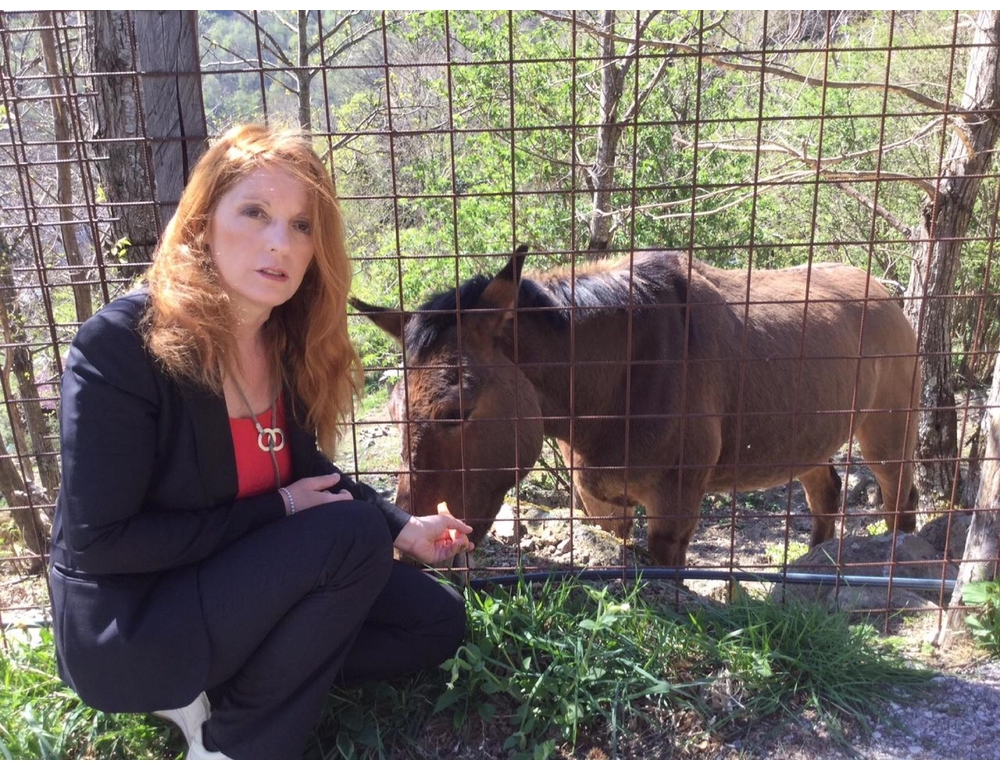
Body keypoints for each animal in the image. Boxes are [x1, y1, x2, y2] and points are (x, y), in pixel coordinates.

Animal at [352, 246, 920, 567]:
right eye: (395, 413)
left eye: (457, 410)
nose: (410, 548)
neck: (615, 383)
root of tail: (885, 293)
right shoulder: (603, 502)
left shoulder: (675, 506)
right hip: (808, 441)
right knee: (825, 494)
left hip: (887, 437)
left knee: (899, 500)